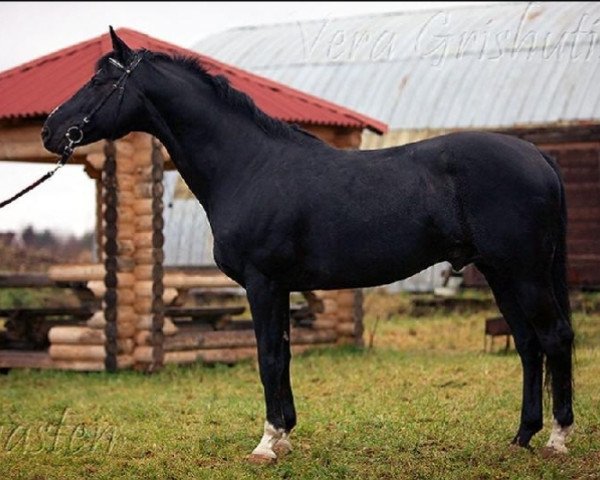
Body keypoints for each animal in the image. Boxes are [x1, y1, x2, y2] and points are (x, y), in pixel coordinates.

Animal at [39, 29, 576, 462]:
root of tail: (539, 157)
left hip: (524, 272)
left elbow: (267, 357)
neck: (249, 166)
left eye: (101, 81)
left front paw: (265, 444)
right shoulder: (281, 288)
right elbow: (284, 355)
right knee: (528, 345)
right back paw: (521, 437)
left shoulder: (261, 284)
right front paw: (285, 436)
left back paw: (556, 439)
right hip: (501, 274)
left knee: (554, 338)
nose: (49, 129)